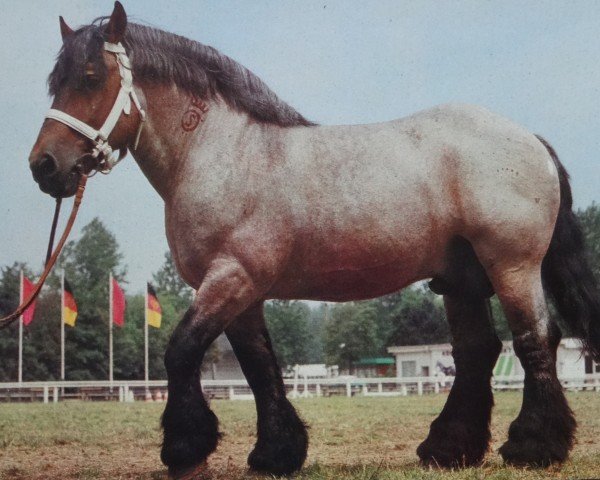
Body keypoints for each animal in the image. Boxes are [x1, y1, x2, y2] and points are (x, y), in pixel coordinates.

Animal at [29, 2, 600, 476]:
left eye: (90, 77)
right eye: (55, 82)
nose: (44, 166)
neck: (221, 154)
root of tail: (529, 139)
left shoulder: (231, 277)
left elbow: (182, 350)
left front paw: (186, 449)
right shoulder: (244, 291)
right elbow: (259, 367)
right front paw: (276, 452)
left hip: (512, 266)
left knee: (534, 340)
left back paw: (533, 446)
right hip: (461, 277)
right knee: (478, 351)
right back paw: (448, 448)